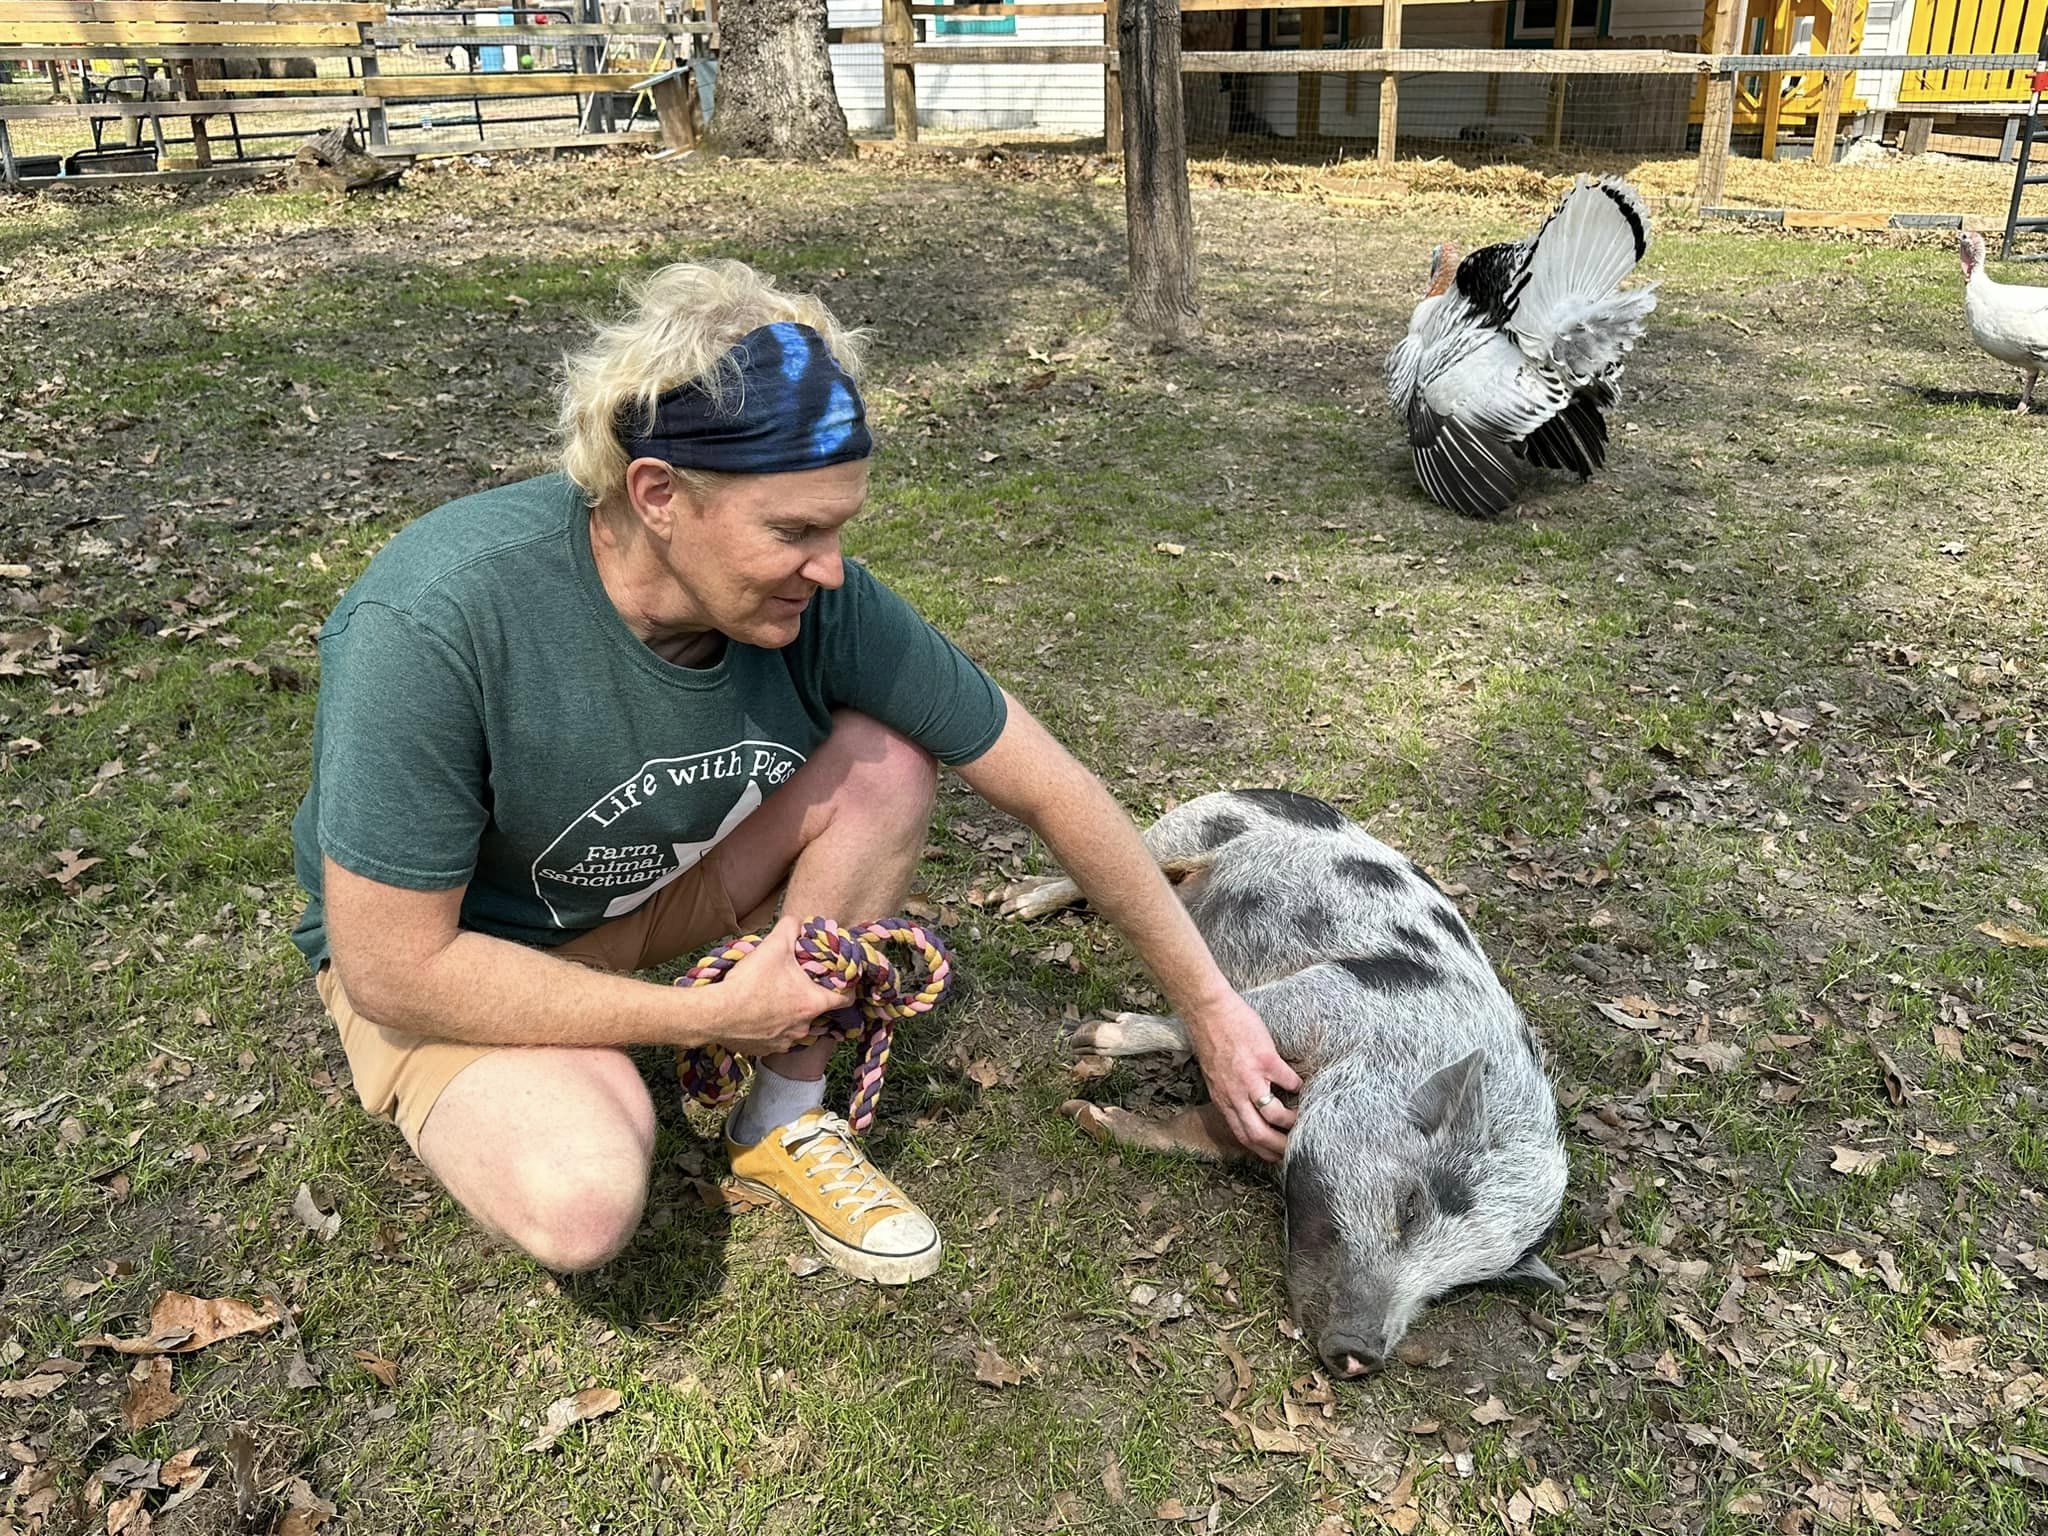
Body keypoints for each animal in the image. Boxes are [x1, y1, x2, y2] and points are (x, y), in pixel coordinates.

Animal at [1001, 788, 1568, 1377]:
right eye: (1410, 1209)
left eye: (1455, 1283)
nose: (1361, 1355)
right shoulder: (1333, 993)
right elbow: (1234, 1017)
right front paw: (1090, 1043)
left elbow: (1196, 1135)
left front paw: (1089, 1114)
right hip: (1186, 827)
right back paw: (1007, 903)